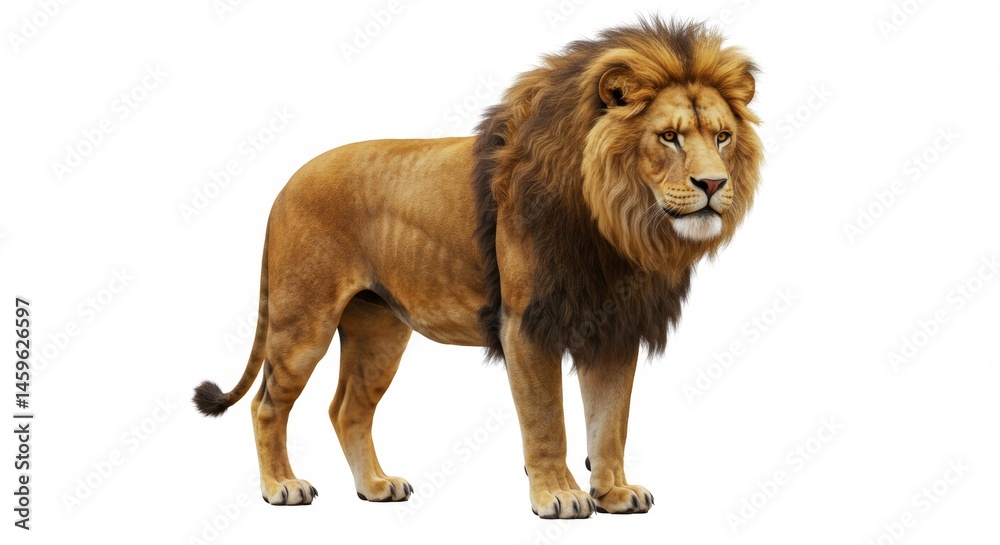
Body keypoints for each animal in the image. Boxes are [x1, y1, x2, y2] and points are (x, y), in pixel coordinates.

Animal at [194, 17, 762, 519]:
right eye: (668, 137)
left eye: (722, 137)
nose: (714, 184)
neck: (616, 226)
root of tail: (286, 184)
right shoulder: (526, 325)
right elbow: (547, 421)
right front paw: (559, 496)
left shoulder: (615, 329)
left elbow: (610, 423)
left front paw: (615, 493)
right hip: (303, 324)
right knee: (266, 405)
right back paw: (281, 487)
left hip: (379, 331)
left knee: (347, 408)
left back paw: (374, 486)